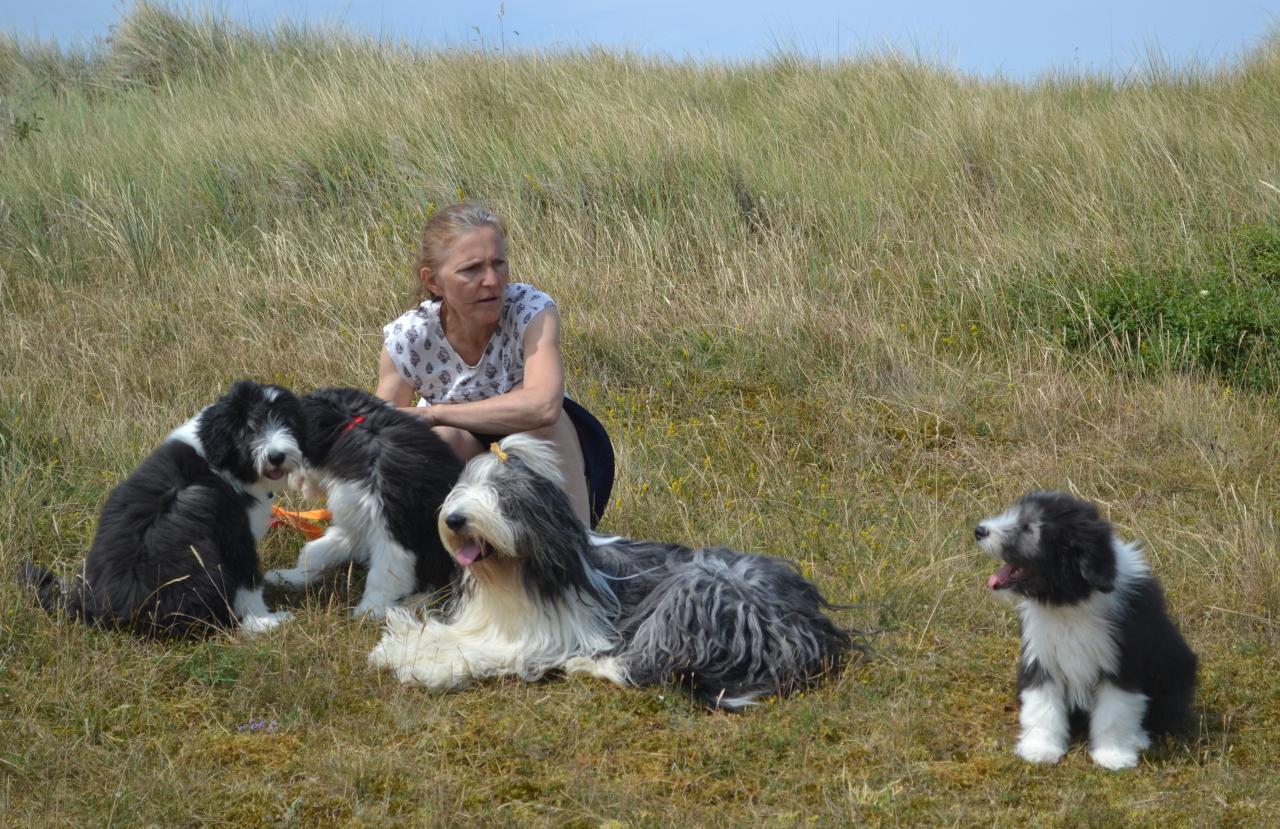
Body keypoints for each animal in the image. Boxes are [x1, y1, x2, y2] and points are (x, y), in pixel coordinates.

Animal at [19, 378, 302, 637]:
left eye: (286, 423)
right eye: (250, 428)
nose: (276, 456)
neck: (219, 459)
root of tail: (91, 607)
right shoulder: (235, 537)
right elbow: (248, 583)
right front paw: (265, 621)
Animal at [262, 386, 463, 614]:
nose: (276, 461)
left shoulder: (393, 525)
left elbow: (385, 573)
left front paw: (369, 611)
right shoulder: (356, 518)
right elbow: (317, 552)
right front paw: (290, 577)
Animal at [366, 429, 855, 711]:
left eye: (503, 494)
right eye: (463, 487)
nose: (454, 520)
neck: (513, 575)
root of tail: (810, 628)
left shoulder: (549, 638)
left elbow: (485, 653)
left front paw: (431, 666)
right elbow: (445, 634)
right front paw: (401, 643)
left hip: (698, 589)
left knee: (649, 663)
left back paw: (593, 665)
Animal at [977, 491, 1198, 772]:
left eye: (1028, 527)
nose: (979, 531)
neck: (1071, 599)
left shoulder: (1120, 661)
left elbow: (1115, 710)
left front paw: (1113, 756)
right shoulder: (1042, 656)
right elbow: (1042, 705)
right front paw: (1040, 749)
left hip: (1177, 669)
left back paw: (1137, 738)